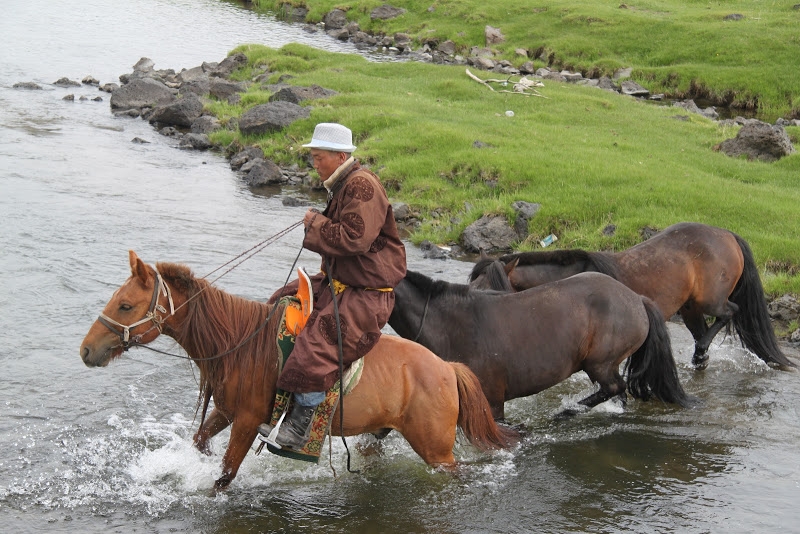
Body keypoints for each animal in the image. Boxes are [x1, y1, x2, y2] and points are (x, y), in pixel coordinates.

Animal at [79, 253, 520, 492]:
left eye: (125, 306)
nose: (86, 350)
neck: (241, 343)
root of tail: (447, 368)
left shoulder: (247, 420)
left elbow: (224, 477)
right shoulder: (226, 411)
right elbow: (200, 441)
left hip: (437, 452)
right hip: (382, 434)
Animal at [388, 272, 688, 422]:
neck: (449, 325)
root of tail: (637, 299)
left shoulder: (492, 402)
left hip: (600, 362)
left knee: (614, 387)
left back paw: (566, 413)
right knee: (618, 392)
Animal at [468, 224, 792, 370]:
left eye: (490, 291)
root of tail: (728, 235)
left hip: (710, 301)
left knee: (730, 312)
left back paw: (700, 352)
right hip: (690, 307)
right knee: (704, 329)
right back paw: (699, 358)